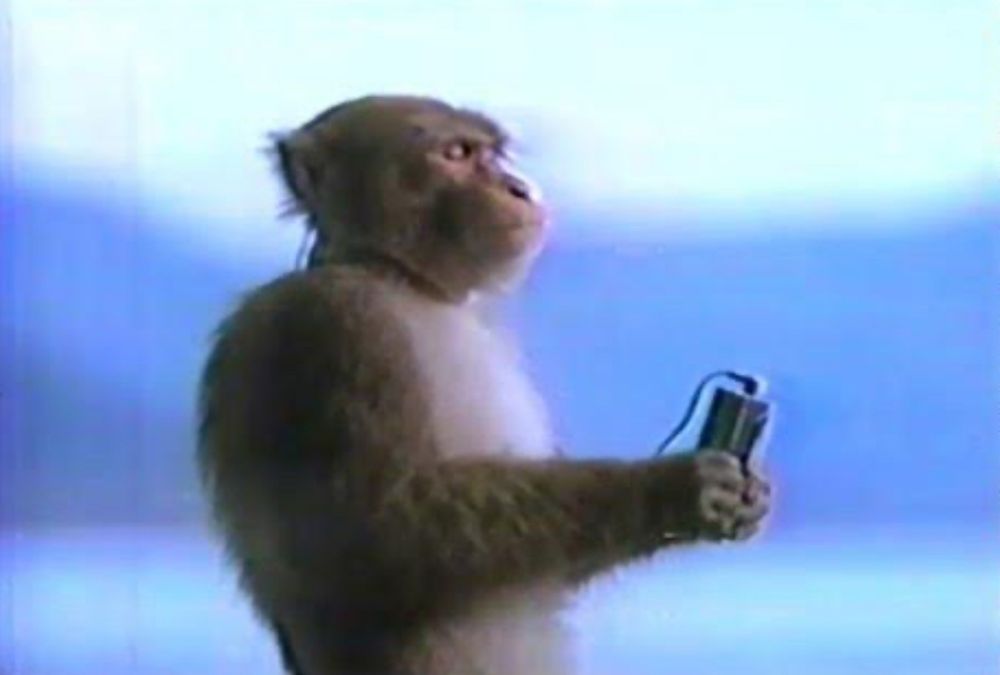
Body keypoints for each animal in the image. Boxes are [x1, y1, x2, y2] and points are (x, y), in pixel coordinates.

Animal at [197, 95, 771, 675]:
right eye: (455, 153)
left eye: (493, 154)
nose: (517, 187)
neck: (397, 276)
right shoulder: (337, 326)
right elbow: (375, 536)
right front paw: (675, 487)